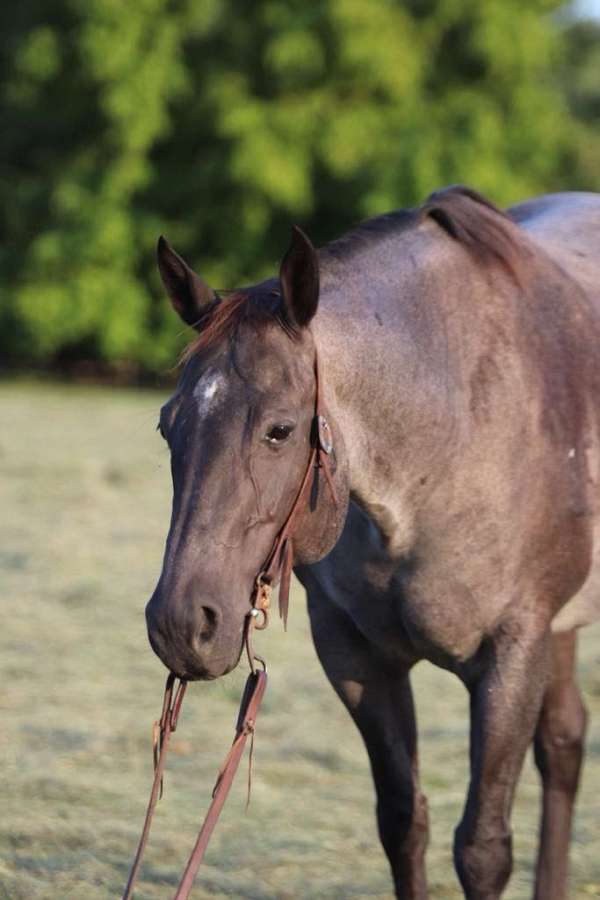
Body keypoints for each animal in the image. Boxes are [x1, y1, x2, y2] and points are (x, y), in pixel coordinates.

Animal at [145, 186, 600, 896]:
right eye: (169, 425)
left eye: (280, 430)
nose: (179, 625)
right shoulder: (357, 656)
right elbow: (402, 822)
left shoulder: (513, 654)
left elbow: (483, 848)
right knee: (564, 741)